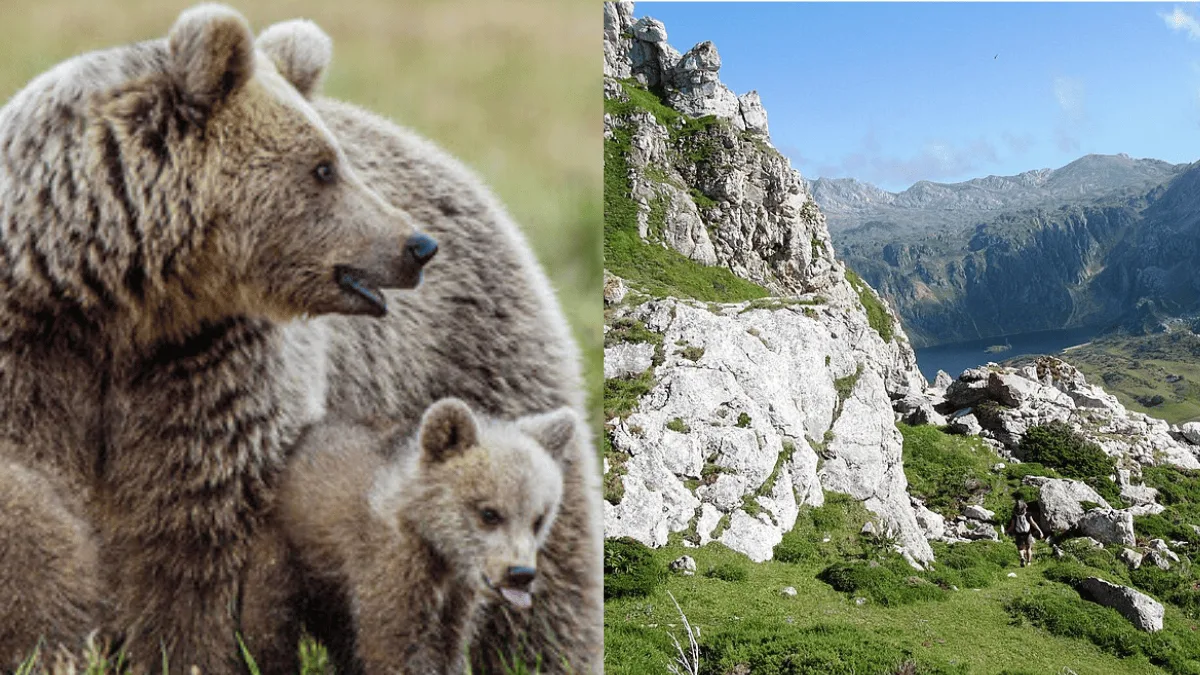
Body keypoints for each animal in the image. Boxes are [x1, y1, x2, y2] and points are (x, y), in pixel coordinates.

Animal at [277, 399, 575, 675]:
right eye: (489, 513)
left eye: (538, 519)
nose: (520, 573)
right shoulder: (390, 567)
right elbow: (395, 645)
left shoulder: (456, 601)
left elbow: (449, 648)